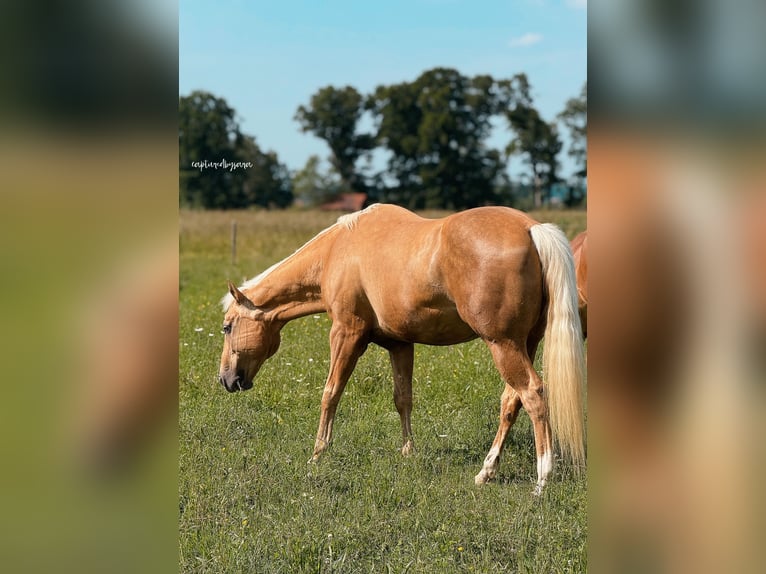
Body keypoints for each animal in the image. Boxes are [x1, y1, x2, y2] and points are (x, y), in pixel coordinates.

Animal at [218, 204, 585, 493]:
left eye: (227, 326)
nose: (226, 379)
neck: (338, 249)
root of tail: (531, 229)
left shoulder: (346, 334)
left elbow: (331, 393)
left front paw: (318, 453)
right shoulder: (400, 345)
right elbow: (403, 398)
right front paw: (408, 451)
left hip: (503, 344)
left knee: (533, 394)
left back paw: (542, 478)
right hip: (523, 344)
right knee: (512, 400)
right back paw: (486, 471)